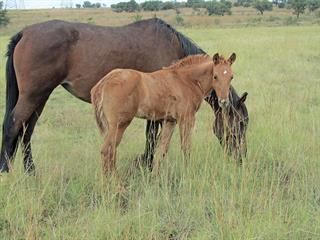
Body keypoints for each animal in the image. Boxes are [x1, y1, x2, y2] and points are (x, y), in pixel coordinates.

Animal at [91, 53, 236, 172]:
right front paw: (188, 173)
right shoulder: (186, 118)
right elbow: (186, 148)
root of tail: (103, 83)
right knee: (107, 151)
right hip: (120, 124)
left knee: (111, 153)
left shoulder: (170, 121)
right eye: (215, 76)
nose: (224, 102)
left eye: (231, 77)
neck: (186, 80)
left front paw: (155, 178)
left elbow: (162, 150)